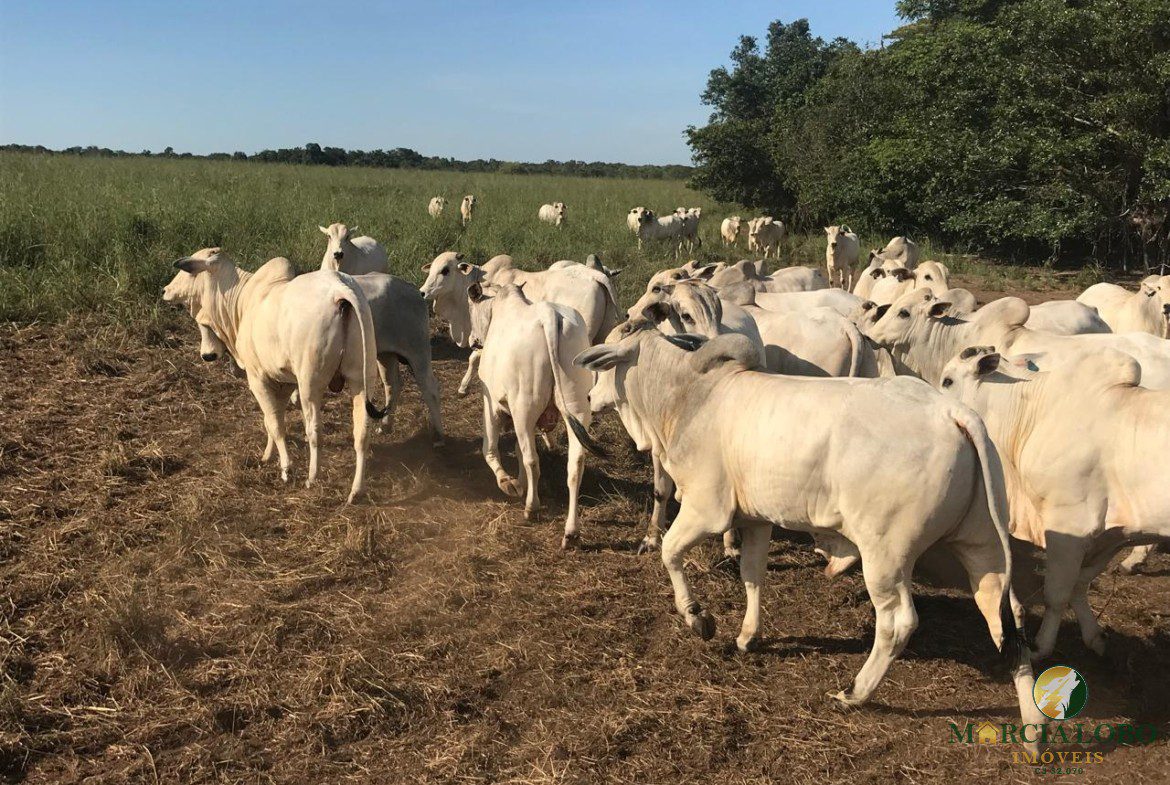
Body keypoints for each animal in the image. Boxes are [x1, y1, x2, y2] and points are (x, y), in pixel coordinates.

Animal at [173, 248, 385, 503]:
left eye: (188, 272)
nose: (166, 290)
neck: (241, 301)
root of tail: (339, 289)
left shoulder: (258, 379)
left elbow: (275, 424)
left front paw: (286, 468)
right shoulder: (283, 382)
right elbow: (272, 419)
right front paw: (267, 456)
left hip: (310, 383)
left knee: (314, 429)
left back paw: (312, 477)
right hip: (361, 379)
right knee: (362, 431)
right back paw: (356, 490)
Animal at [467, 283, 596, 548]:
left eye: (471, 307)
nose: (473, 341)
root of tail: (549, 315)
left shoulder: (491, 402)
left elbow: (490, 448)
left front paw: (508, 483)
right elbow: (516, 449)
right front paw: (519, 483)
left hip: (524, 406)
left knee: (533, 460)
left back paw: (532, 508)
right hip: (577, 407)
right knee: (575, 466)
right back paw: (571, 532)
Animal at [573, 323, 1042, 733]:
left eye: (606, 363)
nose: (589, 395)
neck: (691, 396)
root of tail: (951, 412)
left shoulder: (707, 509)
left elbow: (670, 552)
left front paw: (697, 617)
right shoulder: (756, 520)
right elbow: (752, 576)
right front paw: (748, 636)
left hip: (886, 556)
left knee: (898, 623)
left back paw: (854, 693)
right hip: (982, 549)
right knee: (1009, 620)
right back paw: (1032, 725)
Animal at [937, 346, 1170, 658]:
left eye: (948, 381)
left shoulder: (1068, 527)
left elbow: (1057, 595)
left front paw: (1041, 646)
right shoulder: (1111, 536)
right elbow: (1080, 585)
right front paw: (1095, 637)